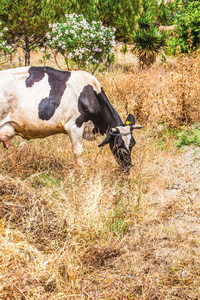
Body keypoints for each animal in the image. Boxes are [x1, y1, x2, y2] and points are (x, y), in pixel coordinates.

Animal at [0, 66, 142, 171]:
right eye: (118, 144)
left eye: (133, 143)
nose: (128, 167)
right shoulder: (74, 126)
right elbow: (78, 153)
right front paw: (83, 172)